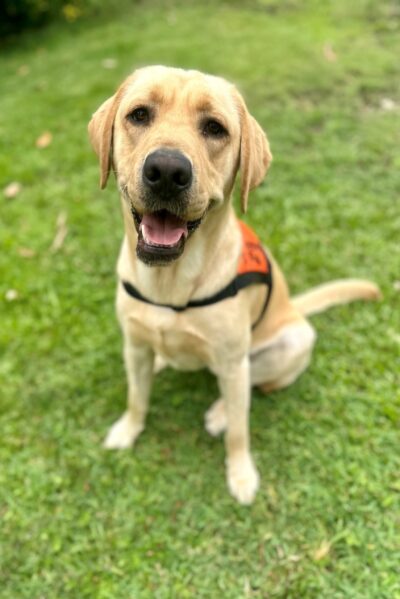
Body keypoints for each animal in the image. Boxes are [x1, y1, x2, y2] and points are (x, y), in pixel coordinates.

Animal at [89, 67, 380, 506]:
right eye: (139, 115)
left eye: (215, 128)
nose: (167, 171)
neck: (171, 284)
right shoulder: (135, 344)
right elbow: (137, 397)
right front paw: (128, 429)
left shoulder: (230, 360)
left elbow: (241, 431)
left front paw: (241, 474)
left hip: (289, 344)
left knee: (253, 381)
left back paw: (219, 412)